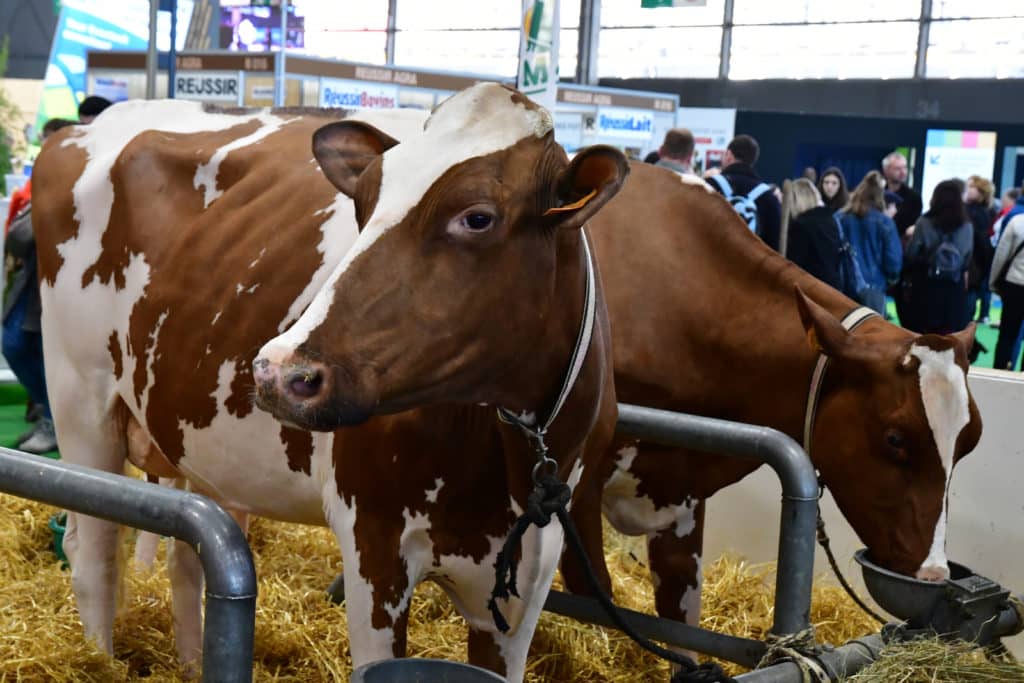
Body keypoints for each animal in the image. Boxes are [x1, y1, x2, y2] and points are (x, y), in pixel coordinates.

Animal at [34, 82, 622, 679]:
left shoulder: (532, 567)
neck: (505, 462)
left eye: (477, 218)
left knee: (186, 560)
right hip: (80, 403)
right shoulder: (374, 540)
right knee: (95, 553)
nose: (280, 371)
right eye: (363, 203)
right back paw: (98, 657)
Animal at [561, 163, 983, 634]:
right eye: (895, 438)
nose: (933, 573)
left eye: (970, 442)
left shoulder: (682, 488)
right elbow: (591, 590)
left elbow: (680, 606)